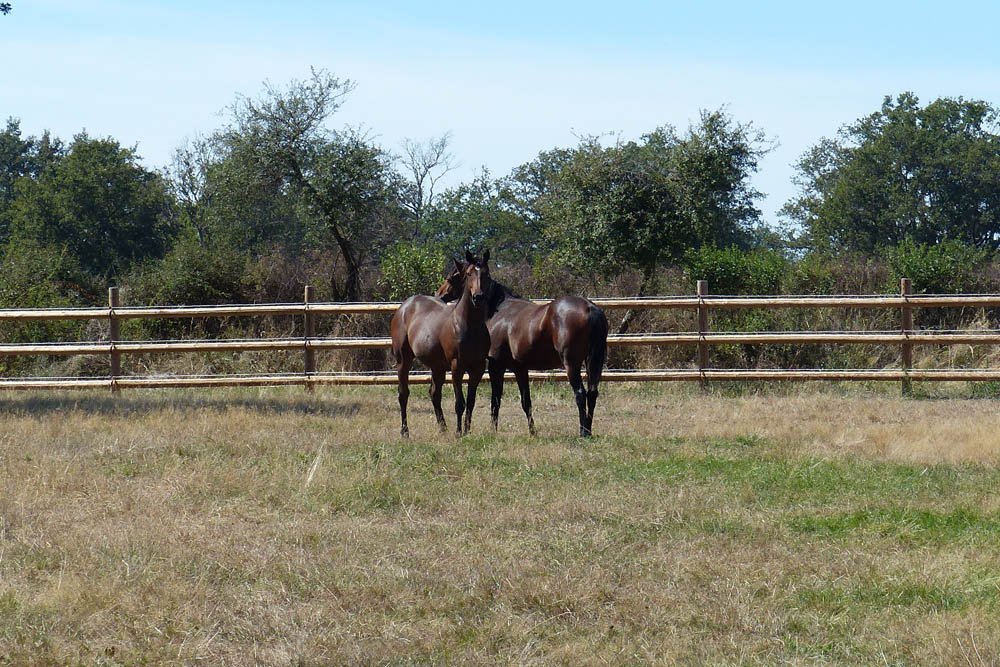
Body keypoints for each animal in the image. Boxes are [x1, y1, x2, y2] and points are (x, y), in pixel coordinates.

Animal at [390, 250, 493, 438]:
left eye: (486, 274)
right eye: (469, 274)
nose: (478, 297)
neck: (468, 325)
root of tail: (404, 307)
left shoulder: (478, 368)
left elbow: (471, 401)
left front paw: (467, 431)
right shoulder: (457, 366)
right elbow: (460, 403)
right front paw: (459, 433)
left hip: (437, 366)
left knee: (434, 393)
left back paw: (443, 429)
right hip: (404, 360)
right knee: (403, 394)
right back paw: (405, 431)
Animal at [438, 261, 608, 437]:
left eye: (451, 277)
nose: (440, 294)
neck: (500, 310)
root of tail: (589, 308)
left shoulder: (496, 366)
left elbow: (495, 400)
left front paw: (493, 430)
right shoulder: (520, 368)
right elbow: (526, 402)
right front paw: (533, 432)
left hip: (572, 364)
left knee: (580, 393)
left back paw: (583, 432)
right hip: (593, 362)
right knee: (592, 393)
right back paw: (588, 430)